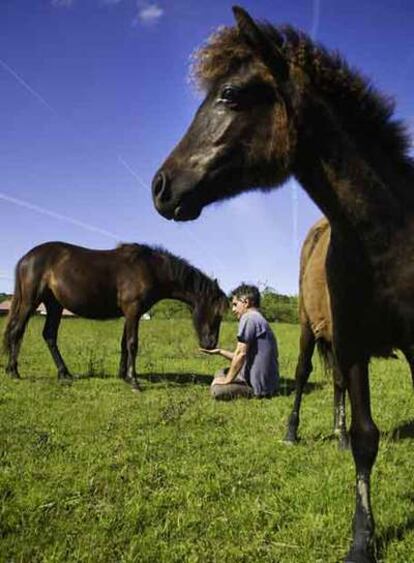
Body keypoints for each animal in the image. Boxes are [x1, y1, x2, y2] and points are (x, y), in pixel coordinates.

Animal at [2, 240, 226, 390]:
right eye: (216, 313)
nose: (210, 344)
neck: (149, 268)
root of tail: (26, 258)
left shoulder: (130, 313)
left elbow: (124, 344)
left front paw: (124, 376)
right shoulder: (133, 310)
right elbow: (132, 343)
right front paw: (134, 381)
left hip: (54, 305)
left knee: (49, 335)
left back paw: (64, 373)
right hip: (31, 301)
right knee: (17, 331)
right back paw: (13, 371)